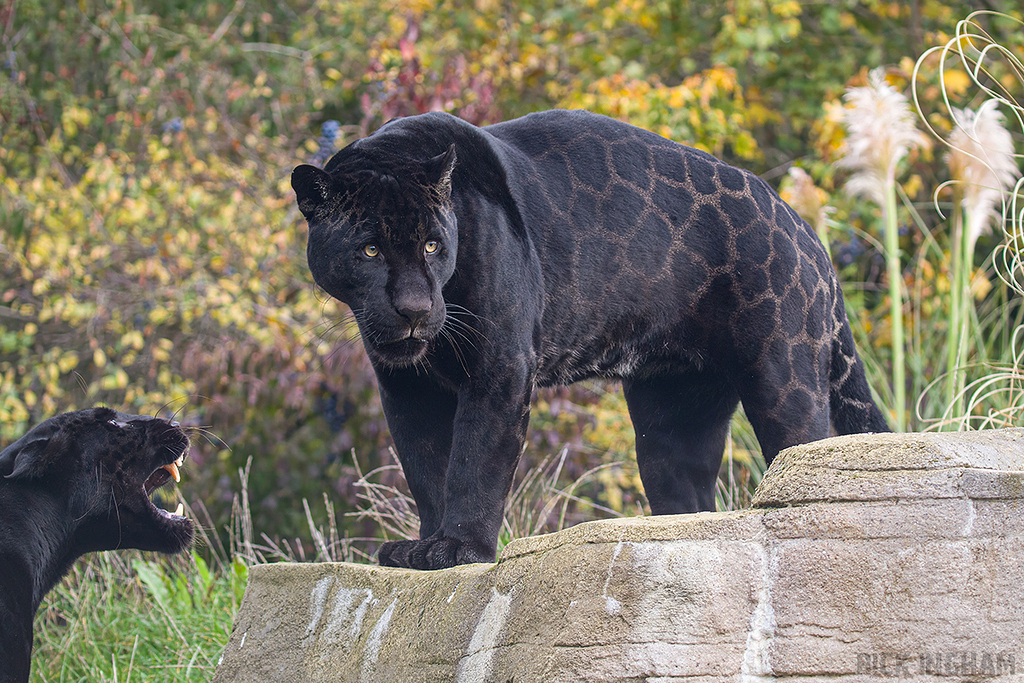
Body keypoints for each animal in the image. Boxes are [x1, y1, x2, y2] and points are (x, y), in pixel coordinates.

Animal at [291, 109, 890, 570]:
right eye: (370, 250)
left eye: (433, 246)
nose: (415, 310)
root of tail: (805, 231)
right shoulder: (406, 387)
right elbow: (425, 465)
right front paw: (422, 547)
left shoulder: (501, 367)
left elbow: (474, 461)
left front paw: (460, 549)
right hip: (670, 416)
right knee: (691, 491)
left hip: (783, 380)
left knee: (805, 450)